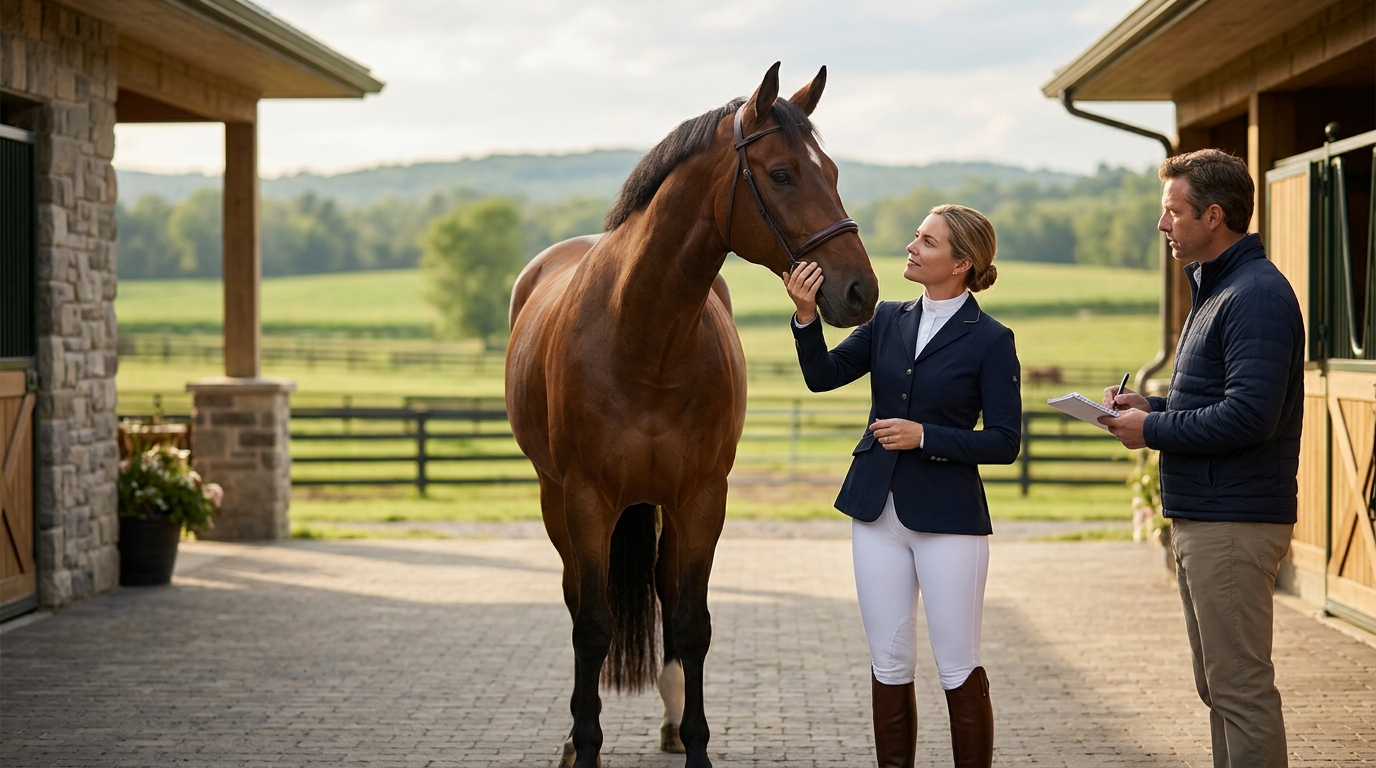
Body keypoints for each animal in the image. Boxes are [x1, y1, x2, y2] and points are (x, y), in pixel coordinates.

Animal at [505, 62, 879, 768]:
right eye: (782, 173)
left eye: (835, 172)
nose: (860, 292)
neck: (644, 334)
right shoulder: (586, 498)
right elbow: (591, 625)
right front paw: (586, 745)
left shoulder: (702, 498)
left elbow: (691, 622)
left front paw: (698, 742)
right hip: (555, 499)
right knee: (576, 599)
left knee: (664, 592)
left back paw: (674, 723)